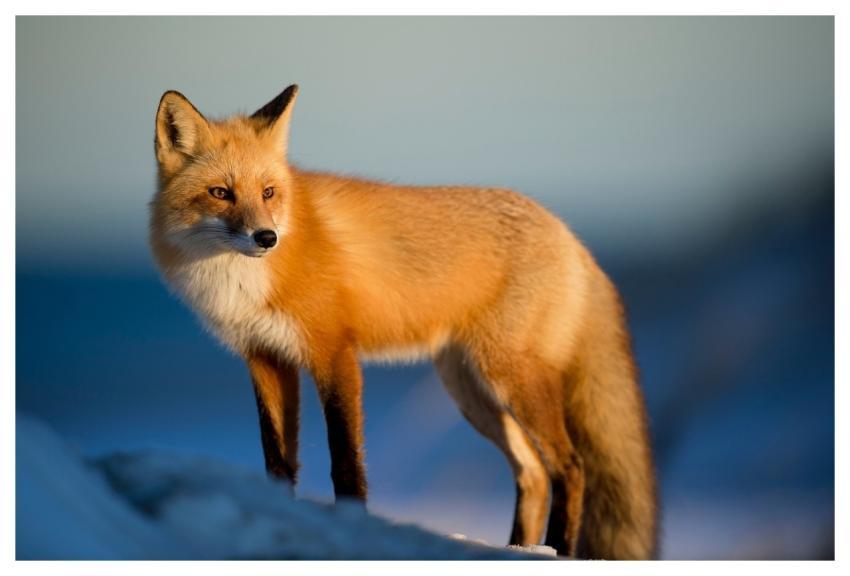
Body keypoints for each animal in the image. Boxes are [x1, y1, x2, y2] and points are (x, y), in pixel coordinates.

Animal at [149, 85, 658, 559]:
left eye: (268, 192)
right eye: (221, 193)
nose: (266, 237)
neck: (242, 282)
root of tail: (571, 236)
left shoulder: (334, 353)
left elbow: (345, 461)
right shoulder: (265, 358)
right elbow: (277, 461)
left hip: (510, 378)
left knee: (570, 467)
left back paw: (558, 549)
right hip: (470, 390)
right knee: (532, 472)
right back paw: (518, 548)